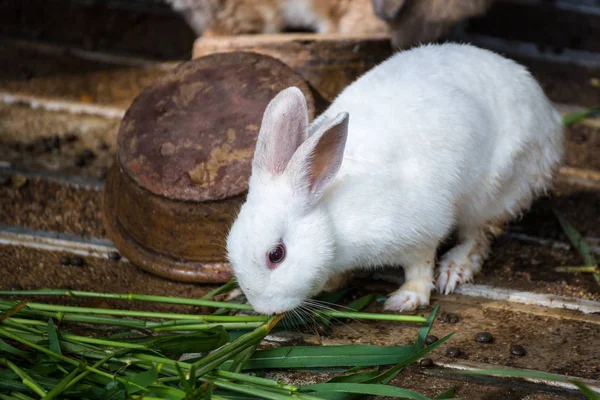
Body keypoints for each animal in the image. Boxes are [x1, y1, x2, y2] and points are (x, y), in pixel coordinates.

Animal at [225, 42, 564, 314]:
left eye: (276, 255)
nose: (263, 309)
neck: (331, 217)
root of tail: (548, 116)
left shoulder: (422, 229)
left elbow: (420, 266)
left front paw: (406, 299)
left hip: (492, 191)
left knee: (477, 235)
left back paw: (454, 269)